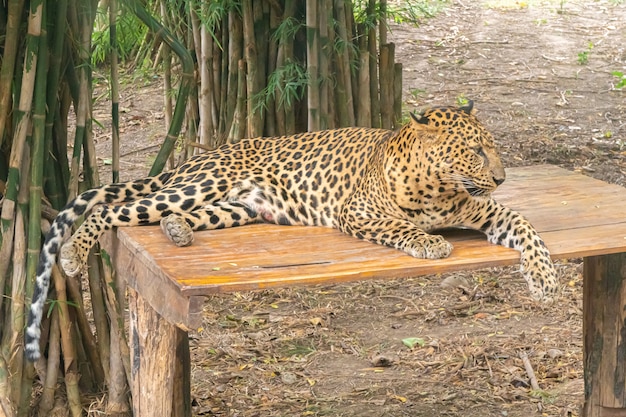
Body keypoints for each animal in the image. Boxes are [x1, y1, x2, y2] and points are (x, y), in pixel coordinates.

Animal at [25, 102, 556, 360]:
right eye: (476, 150)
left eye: (493, 148)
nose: (502, 178)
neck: (439, 185)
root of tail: (200, 156)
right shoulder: (358, 211)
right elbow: (400, 225)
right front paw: (429, 242)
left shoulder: (482, 210)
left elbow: (525, 225)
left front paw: (546, 279)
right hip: (198, 185)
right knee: (117, 209)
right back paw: (74, 253)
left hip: (237, 208)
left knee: (173, 216)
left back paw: (178, 232)